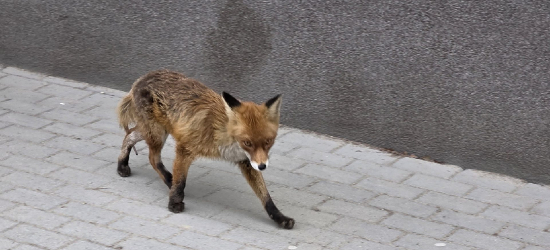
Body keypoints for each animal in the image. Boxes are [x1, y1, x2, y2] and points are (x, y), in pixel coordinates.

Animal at [116, 69, 296, 229]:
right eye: (247, 142)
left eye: (268, 141)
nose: (263, 166)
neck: (223, 135)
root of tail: (142, 78)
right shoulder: (185, 147)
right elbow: (180, 181)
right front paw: (174, 202)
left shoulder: (247, 161)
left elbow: (265, 196)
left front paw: (280, 218)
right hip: (157, 133)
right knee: (153, 158)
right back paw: (166, 179)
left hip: (156, 131)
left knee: (129, 136)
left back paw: (122, 165)